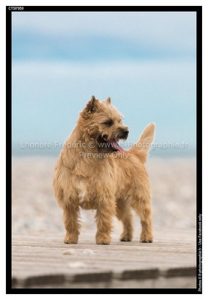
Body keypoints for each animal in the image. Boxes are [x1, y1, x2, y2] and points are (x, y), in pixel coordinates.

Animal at [52, 96, 155, 244]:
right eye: (108, 122)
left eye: (120, 120)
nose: (126, 131)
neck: (88, 157)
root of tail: (134, 154)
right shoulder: (69, 199)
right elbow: (70, 222)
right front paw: (70, 239)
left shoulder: (105, 198)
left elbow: (104, 221)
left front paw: (103, 239)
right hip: (120, 203)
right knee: (128, 218)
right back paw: (126, 236)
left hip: (139, 197)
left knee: (146, 218)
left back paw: (147, 237)